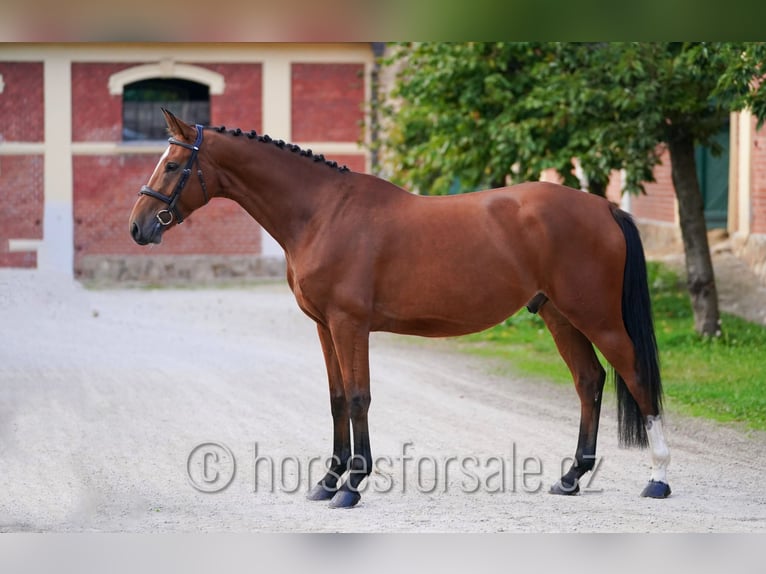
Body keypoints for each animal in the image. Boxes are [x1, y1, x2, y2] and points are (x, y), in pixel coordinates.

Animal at [129, 109, 671, 508]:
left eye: (173, 166)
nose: (138, 227)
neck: (323, 212)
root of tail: (604, 207)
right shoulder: (324, 327)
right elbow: (335, 399)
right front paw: (327, 481)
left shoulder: (349, 324)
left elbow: (357, 398)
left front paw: (352, 486)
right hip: (559, 316)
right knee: (589, 382)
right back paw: (571, 477)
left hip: (598, 318)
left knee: (636, 377)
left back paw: (659, 478)